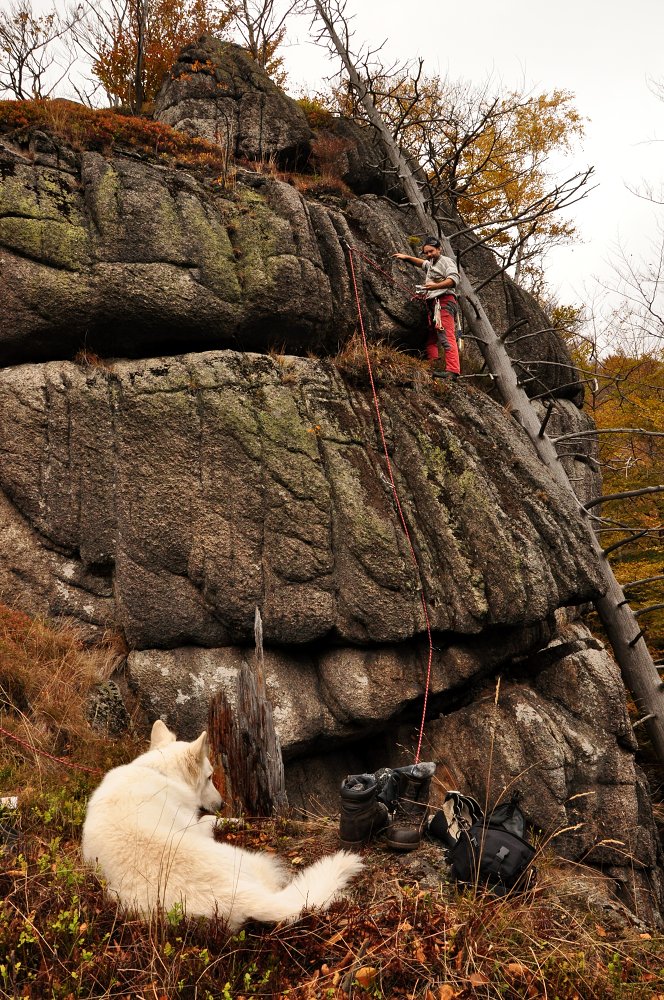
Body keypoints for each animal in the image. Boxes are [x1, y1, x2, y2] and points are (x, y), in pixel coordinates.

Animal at [82, 720, 364, 928]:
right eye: (209, 777)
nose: (221, 803)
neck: (159, 772)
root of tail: (242, 896)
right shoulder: (195, 824)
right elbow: (208, 818)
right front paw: (234, 820)